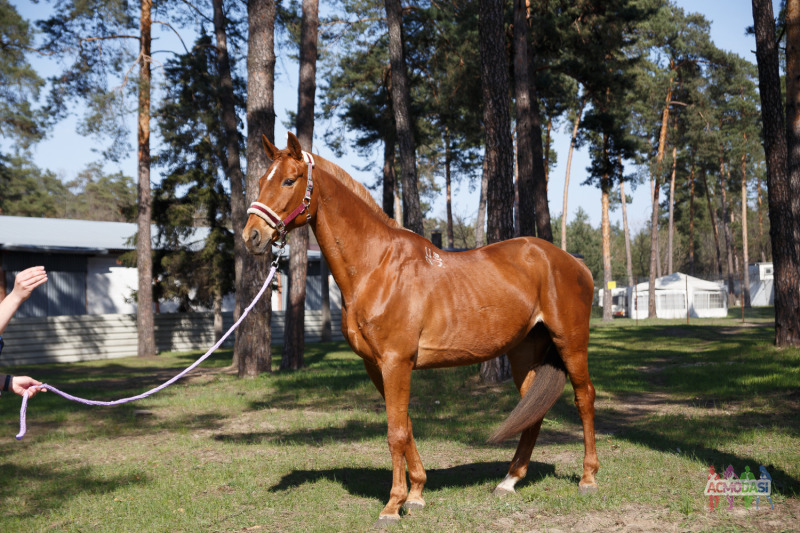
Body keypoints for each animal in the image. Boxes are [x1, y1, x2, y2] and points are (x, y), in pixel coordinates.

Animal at [243, 132, 599, 526]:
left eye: (289, 180)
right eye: (260, 181)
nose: (252, 236)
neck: (376, 267)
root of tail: (574, 263)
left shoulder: (396, 362)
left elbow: (395, 432)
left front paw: (392, 506)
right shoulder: (377, 365)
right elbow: (407, 426)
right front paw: (415, 495)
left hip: (571, 343)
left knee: (584, 397)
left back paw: (587, 478)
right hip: (524, 352)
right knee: (532, 409)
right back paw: (509, 481)